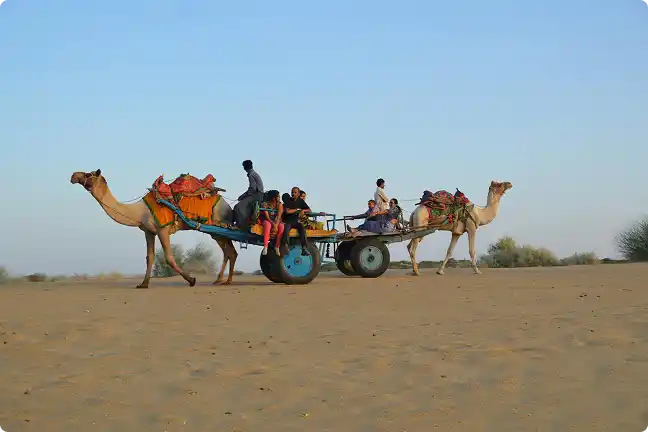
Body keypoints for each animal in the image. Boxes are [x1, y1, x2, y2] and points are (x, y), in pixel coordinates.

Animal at [70, 169, 238, 288]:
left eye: (88, 174)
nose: (73, 175)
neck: (140, 212)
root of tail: (228, 206)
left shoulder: (163, 229)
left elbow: (169, 257)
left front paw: (191, 279)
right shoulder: (148, 231)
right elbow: (149, 257)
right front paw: (143, 284)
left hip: (219, 224)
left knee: (231, 252)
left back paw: (226, 281)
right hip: (216, 231)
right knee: (229, 252)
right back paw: (222, 280)